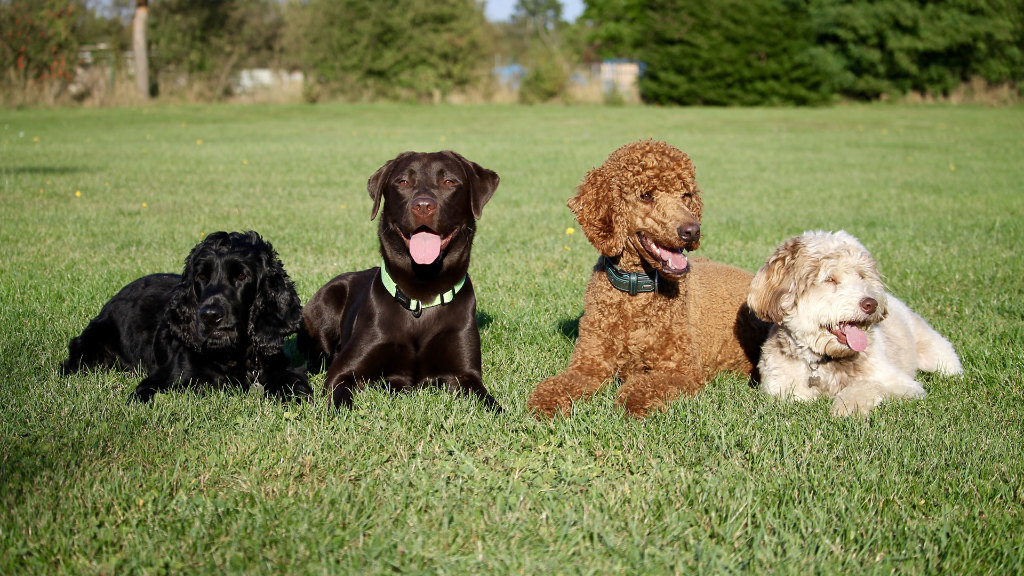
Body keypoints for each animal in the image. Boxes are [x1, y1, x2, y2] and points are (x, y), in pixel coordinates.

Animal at [62, 230, 311, 401]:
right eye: (201, 276)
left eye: (242, 276)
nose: (210, 315)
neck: (232, 354)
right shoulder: (160, 381)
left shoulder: (282, 368)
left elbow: (296, 386)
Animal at [299, 150, 501, 409]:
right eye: (403, 182)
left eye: (449, 181)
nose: (423, 206)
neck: (421, 295)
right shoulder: (342, 371)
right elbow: (340, 399)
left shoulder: (467, 376)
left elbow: (491, 406)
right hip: (326, 303)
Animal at [745, 230, 958, 414]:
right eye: (830, 279)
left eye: (862, 276)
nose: (871, 303)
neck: (826, 360)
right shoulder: (779, 386)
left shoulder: (903, 383)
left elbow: (869, 384)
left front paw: (847, 407)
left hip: (937, 354)